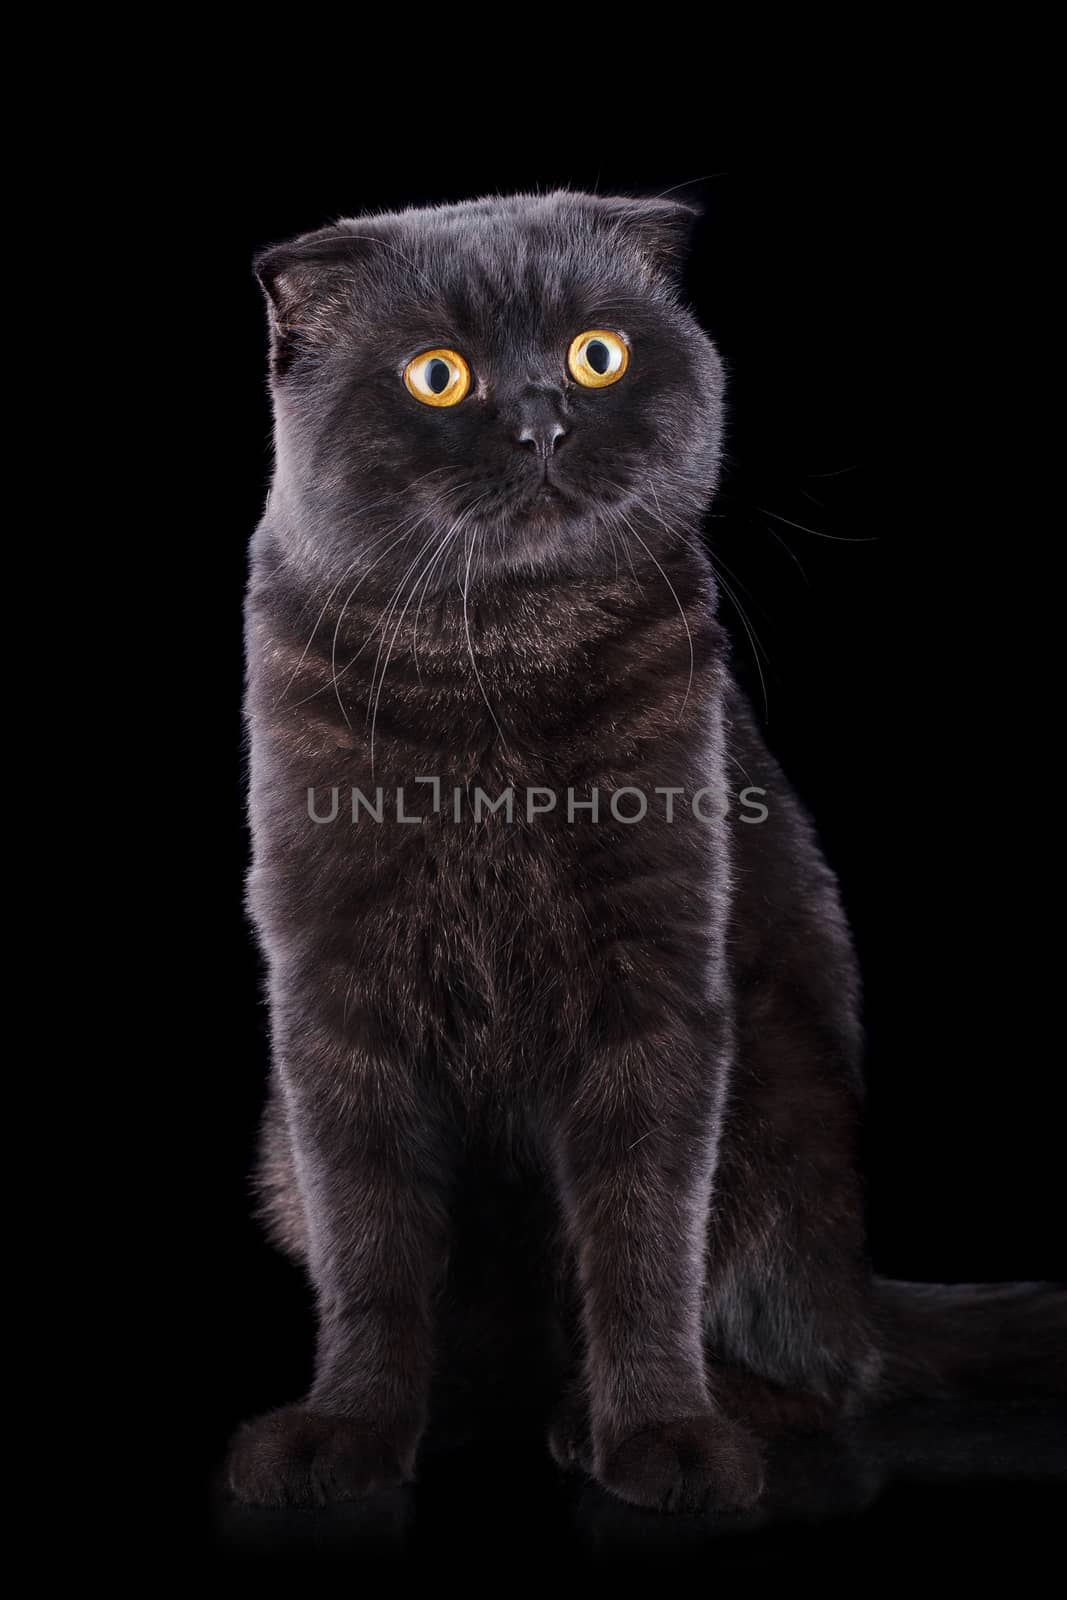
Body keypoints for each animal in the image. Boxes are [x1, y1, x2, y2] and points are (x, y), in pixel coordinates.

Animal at [230, 190, 1062, 1510]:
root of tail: (857, 1280)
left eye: (596, 354)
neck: (494, 663)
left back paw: (647, 1414)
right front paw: (346, 1431)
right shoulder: (330, 994)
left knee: (825, 1367)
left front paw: (665, 1437)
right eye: (436, 374)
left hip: (776, 1111)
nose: (538, 420)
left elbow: (638, 1235)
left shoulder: (657, 982)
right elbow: (370, 1241)